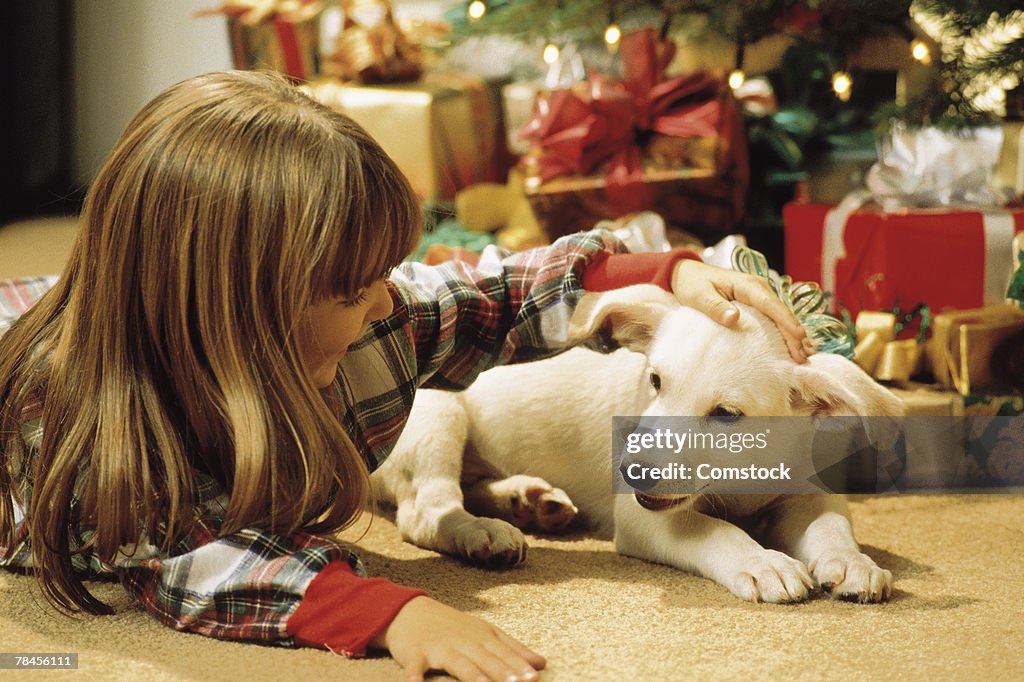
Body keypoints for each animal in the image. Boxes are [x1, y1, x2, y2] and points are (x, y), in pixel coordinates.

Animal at [372, 284, 901, 602]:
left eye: (727, 415)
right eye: (655, 380)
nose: (635, 470)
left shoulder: (806, 490)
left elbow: (831, 523)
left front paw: (851, 561)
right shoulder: (641, 515)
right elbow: (714, 530)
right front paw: (762, 560)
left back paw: (529, 501)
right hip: (436, 414)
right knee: (426, 508)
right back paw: (482, 531)